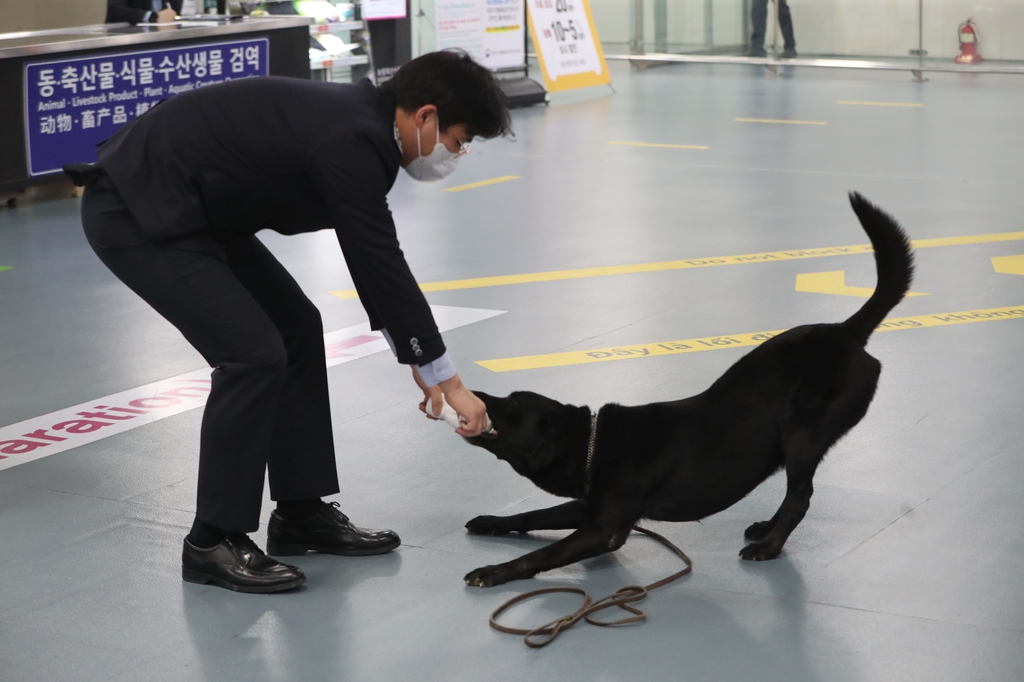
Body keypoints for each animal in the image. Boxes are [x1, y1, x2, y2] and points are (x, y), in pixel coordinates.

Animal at [462, 191, 913, 585]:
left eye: (513, 406)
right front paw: (492, 522)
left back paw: (769, 546)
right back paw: (765, 528)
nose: (476, 395)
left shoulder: (604, 529)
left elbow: (540, 555)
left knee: (800, 497)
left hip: (803, 435)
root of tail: (846, 331)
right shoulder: (587, 506)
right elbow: (533, 515)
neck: (589, 444)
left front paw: (493, 571)